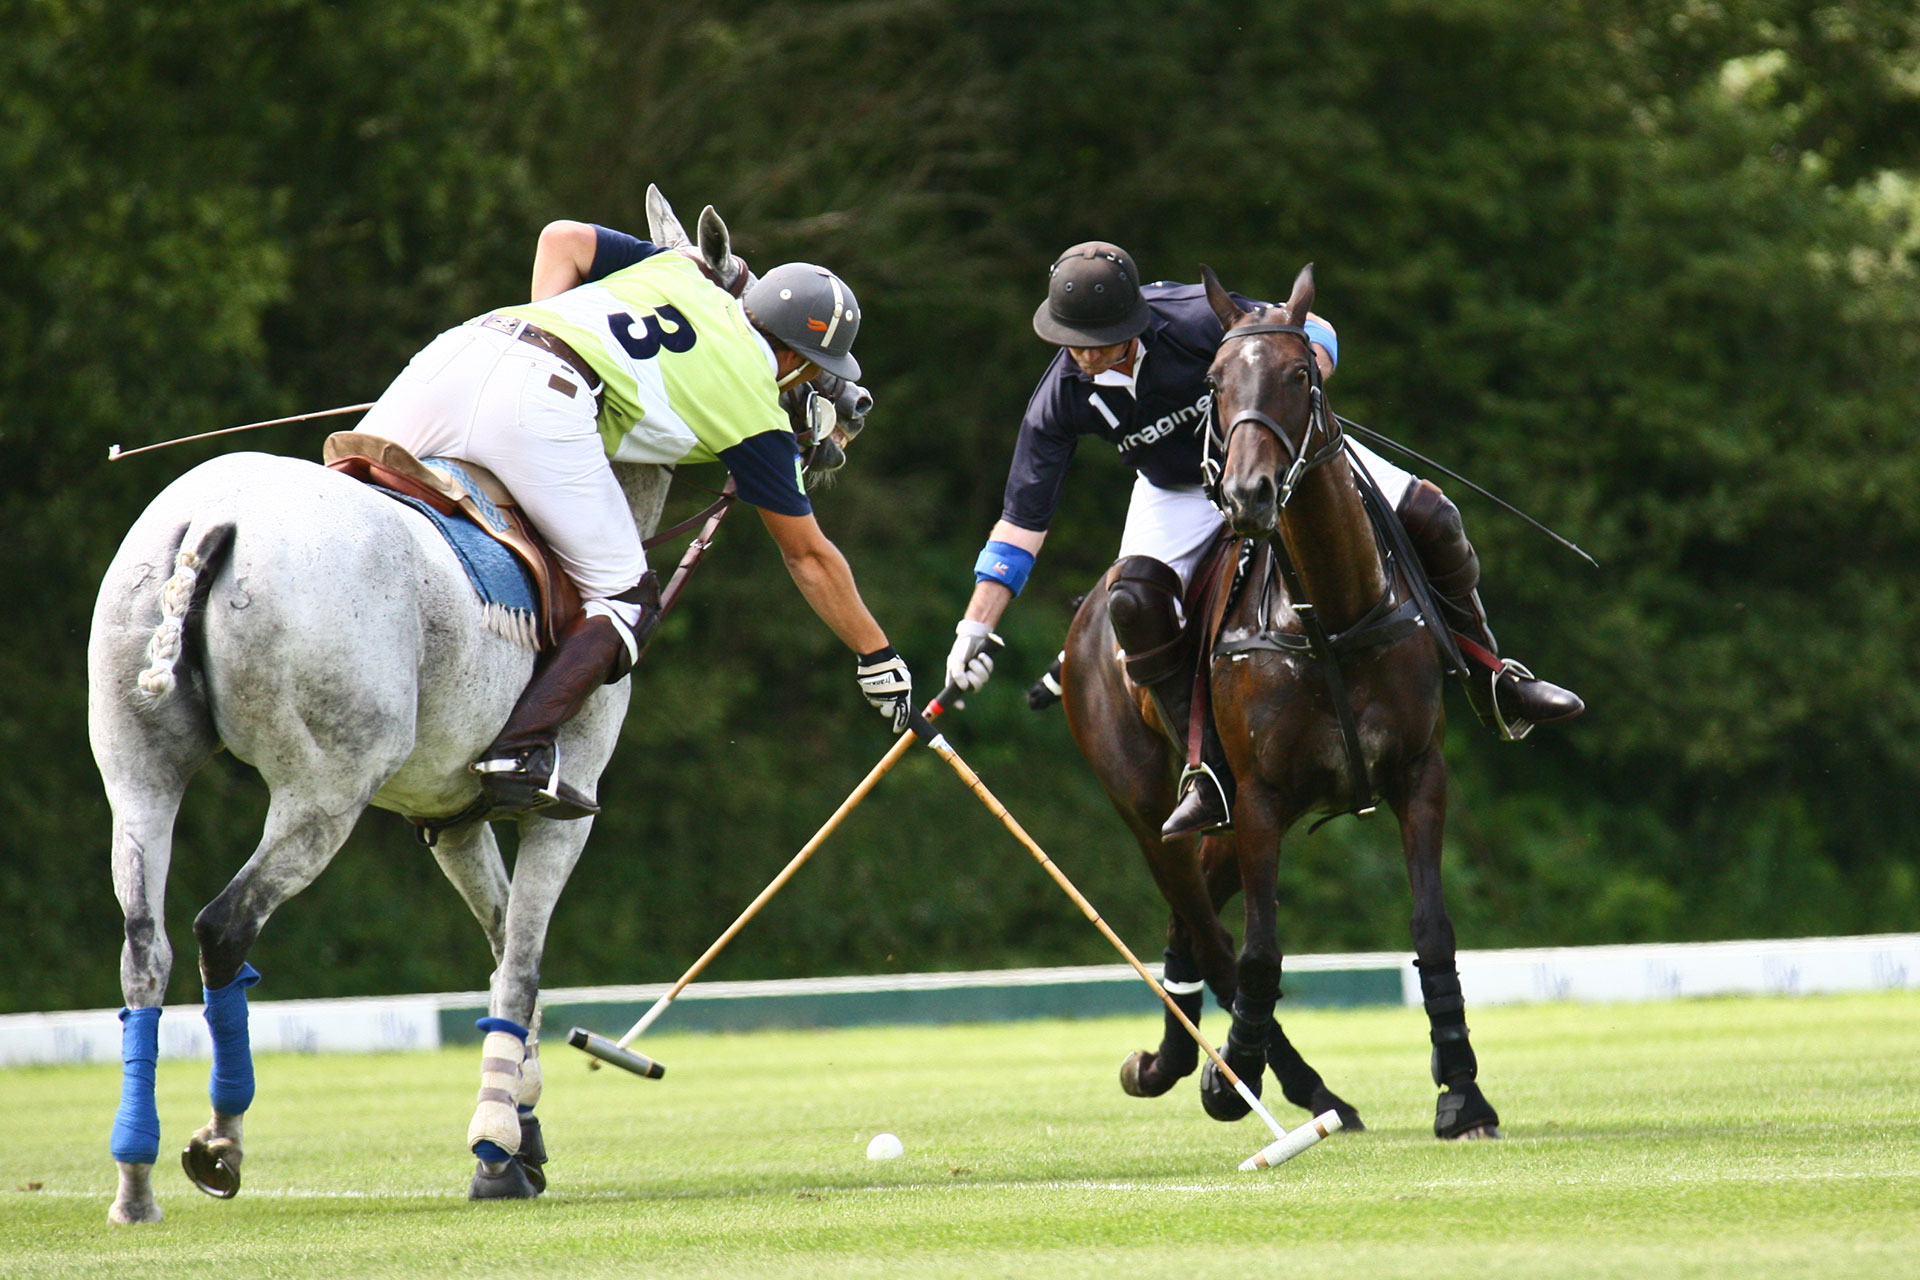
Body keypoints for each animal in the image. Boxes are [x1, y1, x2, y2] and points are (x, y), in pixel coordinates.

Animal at [90, 188, 760, 1220]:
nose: (850, 405)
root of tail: (208, 524)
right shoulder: (564, 804)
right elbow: (522, 959)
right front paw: (498, 1147)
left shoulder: (449, 812)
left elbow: (500, 943)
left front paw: (521, 1126)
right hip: (324, 785)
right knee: (223, 926)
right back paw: (219, 1142)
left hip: (137, 767)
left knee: (144, 951)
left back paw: (136, 1180)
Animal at [1067, 262, 1497, 1143]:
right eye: (1214, 383)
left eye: (1302, 376)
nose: (1246, 495)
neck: (1330, 611)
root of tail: (1081, 619)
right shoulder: (1262, 796)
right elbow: (1261, 950)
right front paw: (1233, 1083)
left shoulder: (1419, 773)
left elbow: (1432, 930)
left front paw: (1463, 1095)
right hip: (1148, 803)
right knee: (1204, 921)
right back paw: (1272, 1083)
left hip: (1230, 820)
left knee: (1195, 910)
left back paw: (1191, 1061)